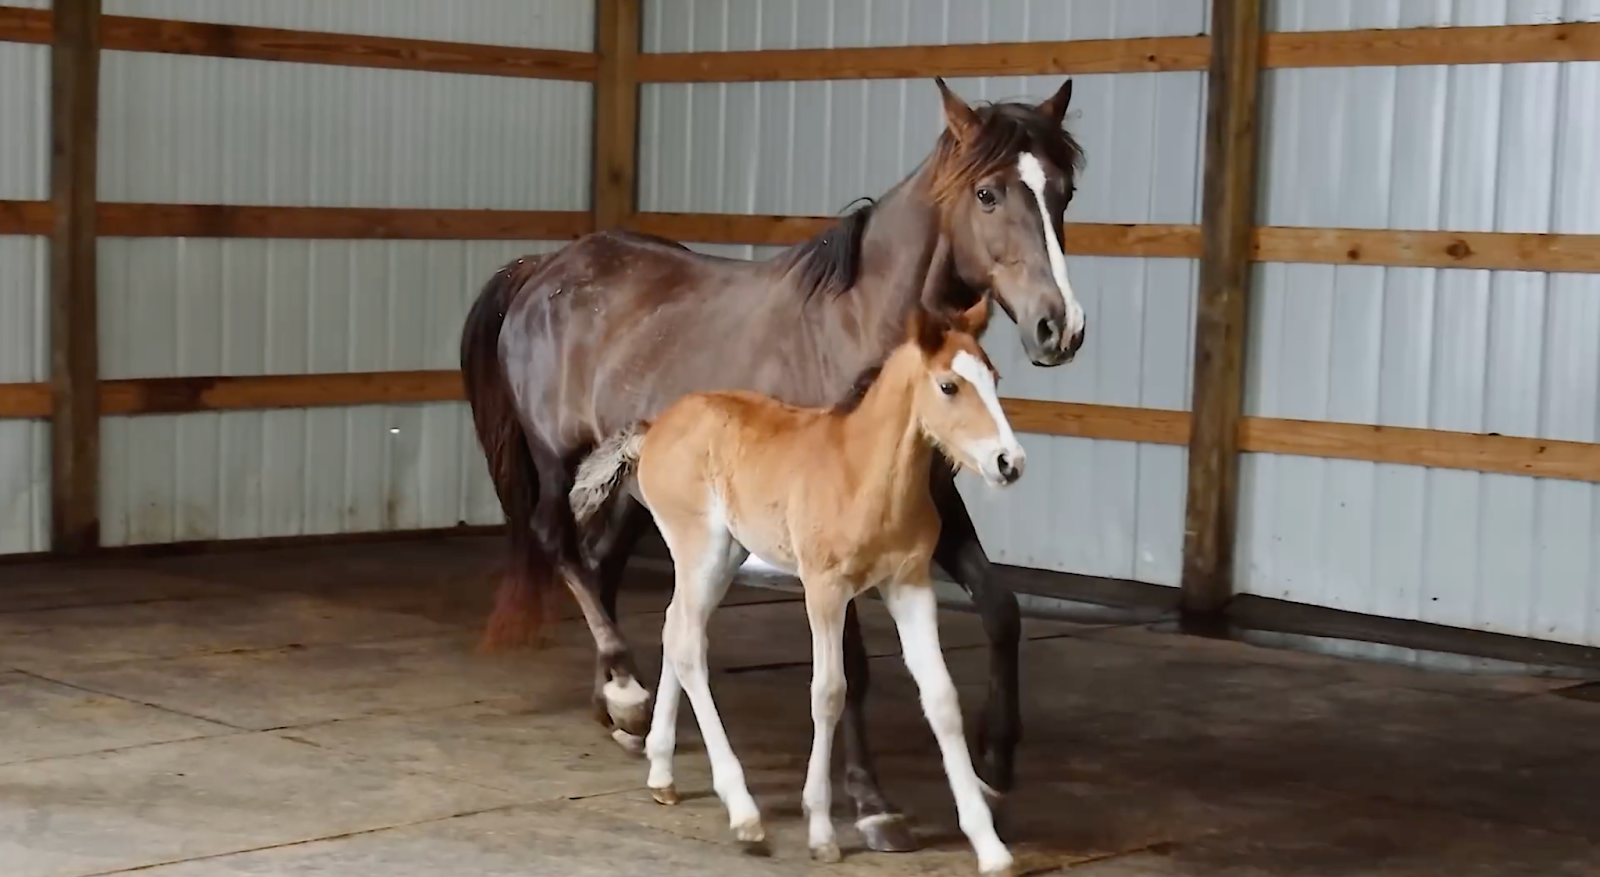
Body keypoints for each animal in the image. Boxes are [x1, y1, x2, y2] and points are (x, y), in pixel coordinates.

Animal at [567, 295, 1022, 875]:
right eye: (948, 386)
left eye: (994, 377)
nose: (1009, 463)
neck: (863, 473)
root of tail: (654, 426)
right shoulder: (824, 588)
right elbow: (829, 692)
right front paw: (823, 831)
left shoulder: (909, 584)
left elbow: (941, 698)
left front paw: (990, 846)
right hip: (700, 548)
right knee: (689, 646)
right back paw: (743, 813)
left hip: (724, 555)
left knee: (676, 629)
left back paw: (662, 773)